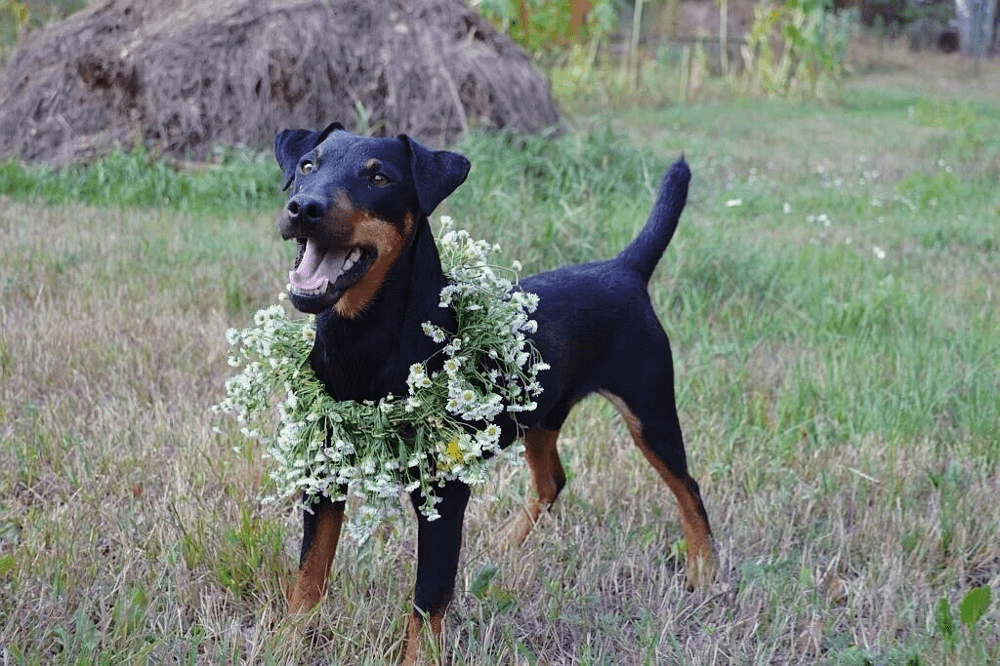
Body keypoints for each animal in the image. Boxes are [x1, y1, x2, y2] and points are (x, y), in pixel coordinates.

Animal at [270, 123, 716, 660]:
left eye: (379, 177)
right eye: (307, 166)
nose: (303, 208)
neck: (363, 342)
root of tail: (625, 268)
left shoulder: (445, 497)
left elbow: (429, 599)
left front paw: (421, 659)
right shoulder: (323, 475)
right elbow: (308, 576)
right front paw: (285, 644)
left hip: (650, 413)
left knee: (687, 488)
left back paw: (704, 570)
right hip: (541, 418)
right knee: (553, 480)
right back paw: (507, 542)